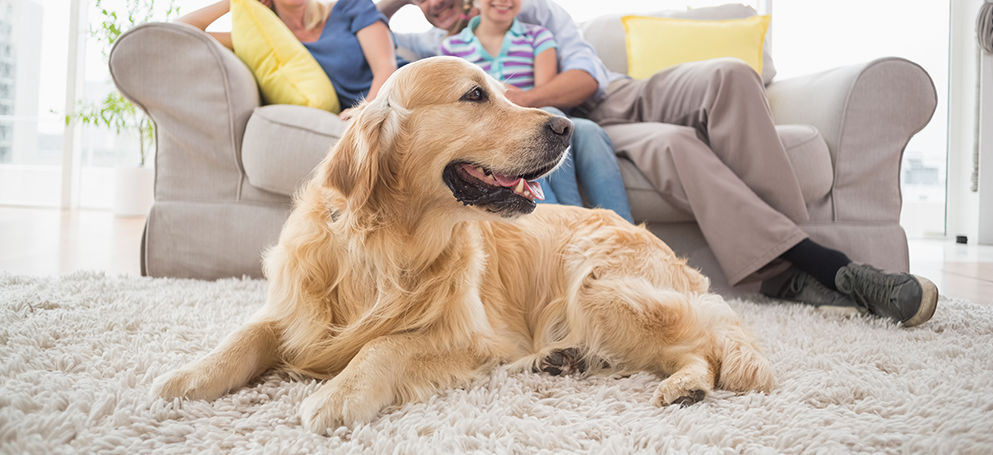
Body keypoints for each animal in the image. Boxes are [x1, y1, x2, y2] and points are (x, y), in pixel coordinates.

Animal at [155, 55, 776, 432]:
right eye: (475, 95)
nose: (565, 127)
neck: (389, 243)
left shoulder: (465, 336)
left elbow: (386, 345)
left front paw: (338, 393)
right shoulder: (295, 310)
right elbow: (245, 335)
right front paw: (188, 377)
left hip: (600, 287)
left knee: (706, 344)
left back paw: (686, 386)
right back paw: (558, 358)